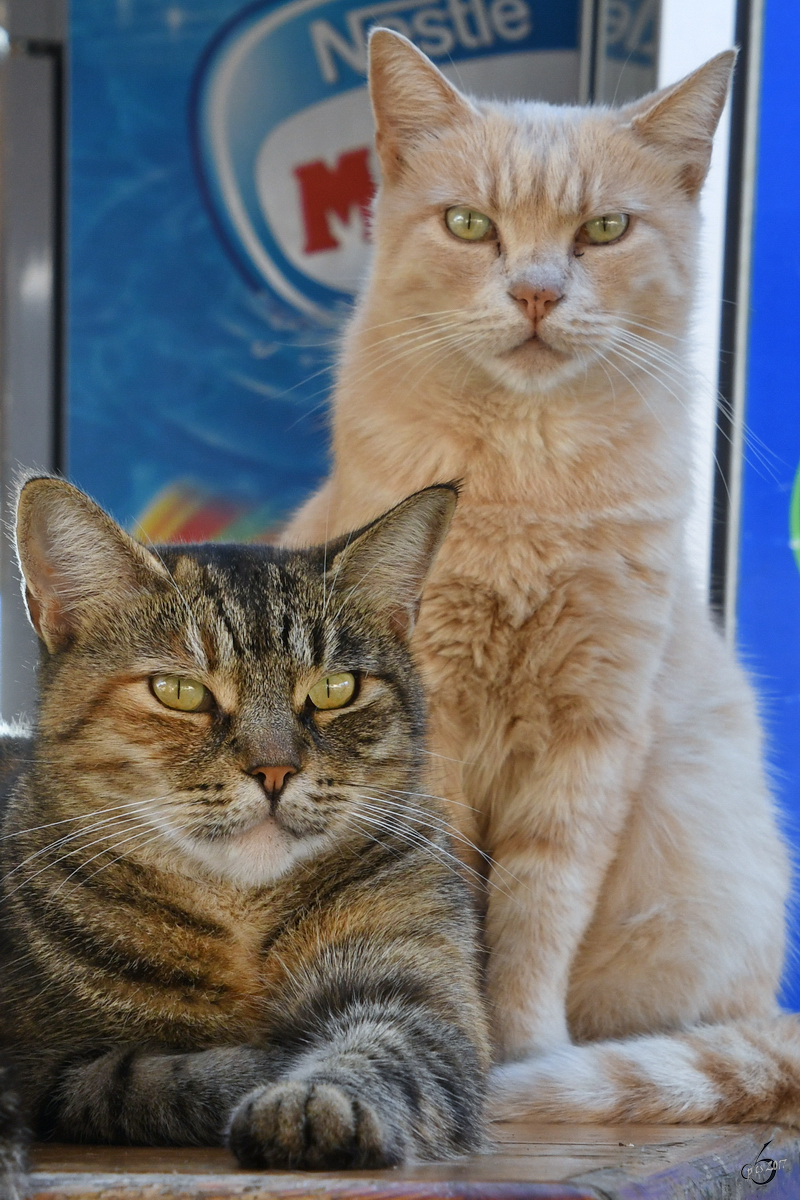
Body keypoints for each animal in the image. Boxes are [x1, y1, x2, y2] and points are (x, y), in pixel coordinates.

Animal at [0, 477, 489, 1171]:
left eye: (337, 688)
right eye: (178, 691)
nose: (275, 769)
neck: (242, 919)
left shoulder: (419, 988)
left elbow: (387, 1049)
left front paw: (311, 1102)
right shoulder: (42, 1066)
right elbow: (151, 1076)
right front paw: (264, 1065)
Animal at [281, 30, 800, 1123]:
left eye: (604, 229)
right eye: (468, 225)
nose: (534, 291)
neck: (523, 490)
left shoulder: (587, 741)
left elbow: (532, 922)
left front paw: (519, 1053)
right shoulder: (428, 733)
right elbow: (446, 905)